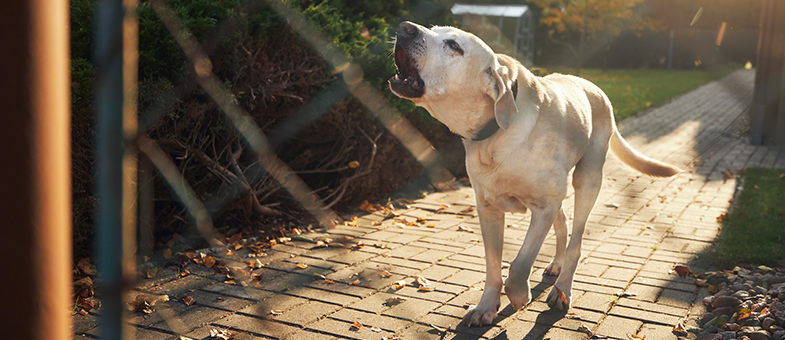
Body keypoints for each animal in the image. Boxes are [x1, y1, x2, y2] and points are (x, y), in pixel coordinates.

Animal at [388, 21, 676, 326]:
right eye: (434, 29)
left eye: (454, 46)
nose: (405, 27)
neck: (496, 134)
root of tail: (594, 87)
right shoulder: (488, 209)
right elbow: (493, 264)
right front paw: (486, 307)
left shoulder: (543, 207)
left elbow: (519, 264)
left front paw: (518, 296)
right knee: (563, 225)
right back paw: (557, 266)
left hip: (587, 178)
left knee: (575, 240)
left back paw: (562, 290)